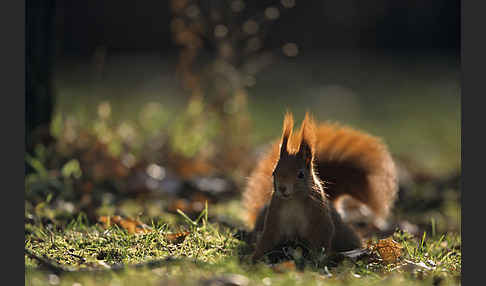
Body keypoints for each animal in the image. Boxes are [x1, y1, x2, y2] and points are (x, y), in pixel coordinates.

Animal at [243, 111, 398, 262]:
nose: (282, 188)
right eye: (274, 172)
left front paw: (317, 259)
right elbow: (267, 239)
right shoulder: (274, 218)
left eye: (301, 174)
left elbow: (322, 239)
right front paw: (254, 258)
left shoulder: (319, 219)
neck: (293, 200)